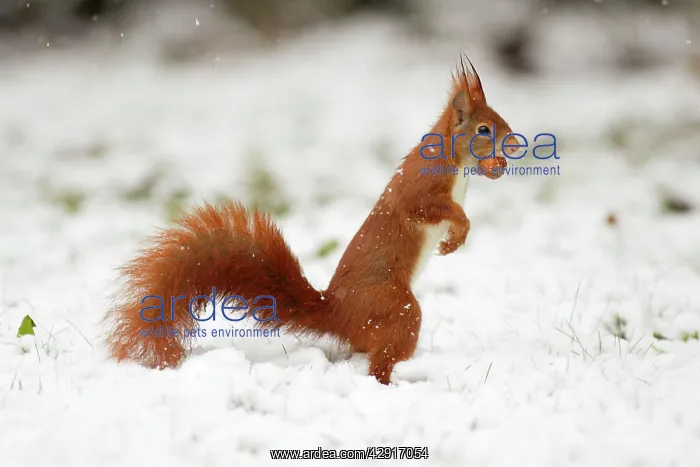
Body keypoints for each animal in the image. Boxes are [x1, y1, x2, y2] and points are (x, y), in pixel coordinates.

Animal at [104, 55, 518, 385]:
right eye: (483, 129)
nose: (513, 141)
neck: (455, 162)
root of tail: (338, 314)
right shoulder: (421, 189)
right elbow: (436, 209)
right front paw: (456, 234)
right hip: (396, 307)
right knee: (379, 363)